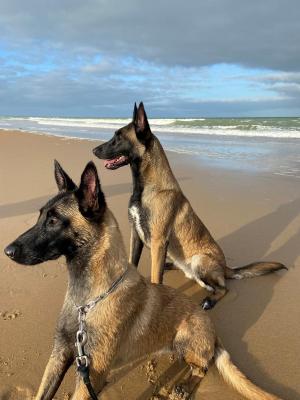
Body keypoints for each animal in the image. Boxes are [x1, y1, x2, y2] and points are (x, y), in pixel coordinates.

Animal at [4, 161, 282, 398]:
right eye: (40, 216)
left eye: (53, 220)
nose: (7, 251)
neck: (89, 300)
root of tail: (212, 330)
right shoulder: (59, 355)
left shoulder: (92, 373)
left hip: (185, 334)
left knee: (201, 368)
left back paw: (182, 387)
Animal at [92, 103, 288, 310]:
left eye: (118, 137)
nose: (94, 150)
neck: (147, 188)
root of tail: (225, 267)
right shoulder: (135, 234)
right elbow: (133, 263)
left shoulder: (158, 241)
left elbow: (155, 278)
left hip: (199, 260)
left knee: (223, 288)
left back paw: (209, 299)